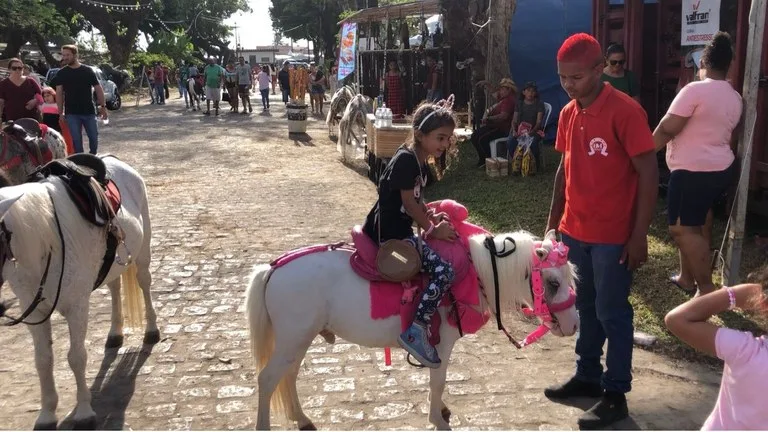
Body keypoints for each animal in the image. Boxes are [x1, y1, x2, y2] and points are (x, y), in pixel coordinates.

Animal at [0, 157, 158, 430]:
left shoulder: (77, 307)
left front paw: (84, 410)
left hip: (142, 254)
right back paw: (115, 332)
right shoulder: (33, 311)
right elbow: (43, 360)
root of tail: (113, 160)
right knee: (114, 287)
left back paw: (151, 330)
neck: (43, 242)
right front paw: (47, 413)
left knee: (144, 283)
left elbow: (76, 357)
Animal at [249, 230, 580, 428]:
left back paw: (301, 417)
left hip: (298, 340)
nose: (574, 324)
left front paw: (441, 410)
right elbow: (438, 382)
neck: (472, 273)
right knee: (267, 379)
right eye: (553, 282)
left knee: (288, 376)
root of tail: (272, 269)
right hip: (293, 340)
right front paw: (438, 418)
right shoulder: (440, 346)